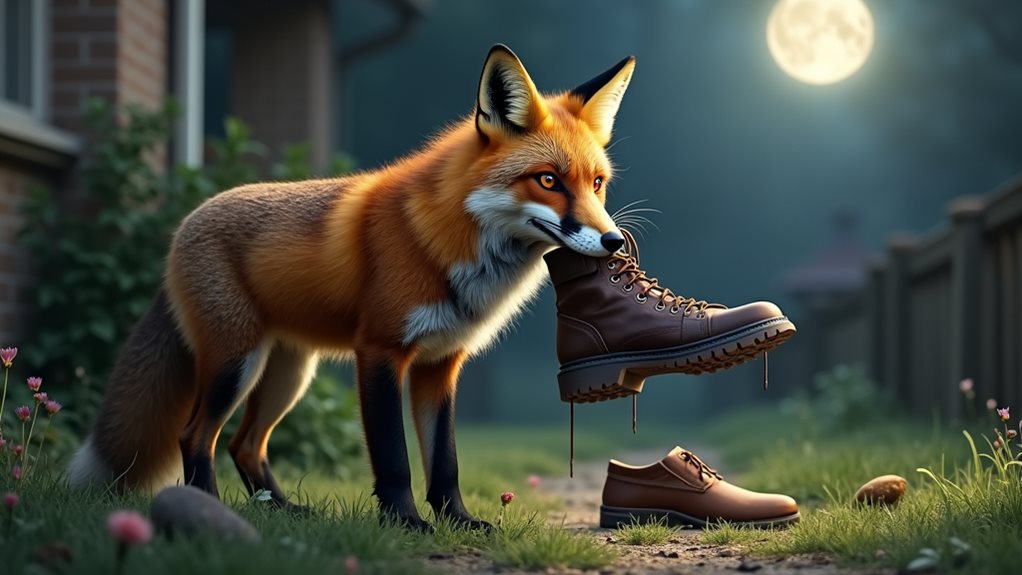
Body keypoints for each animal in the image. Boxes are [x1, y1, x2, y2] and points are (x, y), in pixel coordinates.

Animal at [69, 44, 635, 530]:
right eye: (548, 180)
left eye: (597, 184)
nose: (612, 241)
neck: (448, 243)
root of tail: (186, 222)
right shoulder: (380, 351)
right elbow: (393, 457)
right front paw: (406, 523)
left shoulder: (440, 365)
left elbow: (445, 461)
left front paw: (458, 522)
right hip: (236, 365)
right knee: (196, 437)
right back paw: (209, 507)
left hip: (289, 375)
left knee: (244, 445)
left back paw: (283, 511)